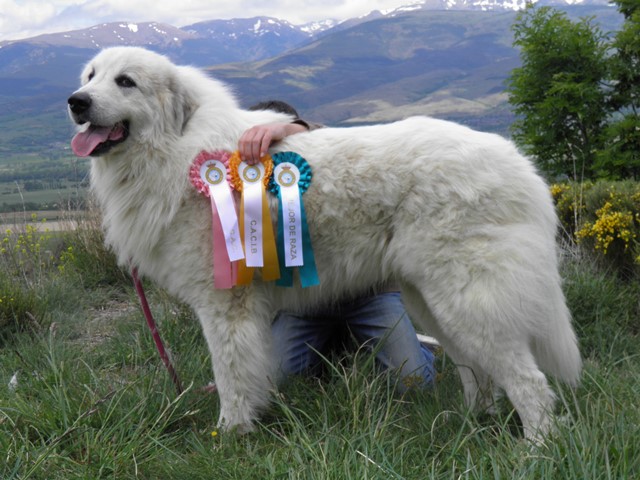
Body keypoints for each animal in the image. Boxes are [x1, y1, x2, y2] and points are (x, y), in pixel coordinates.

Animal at [67, 47, 584, 440]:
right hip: (434, 300)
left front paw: (230, 435)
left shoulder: (224, 305)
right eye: (91, 76)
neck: (177, 147)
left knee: (528, 381)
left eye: (126, 82)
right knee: (475, 368)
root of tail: (520, 165)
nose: (76, 101)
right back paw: (472, 422)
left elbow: (230, 375)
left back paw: (536, 448)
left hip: (469, 297)